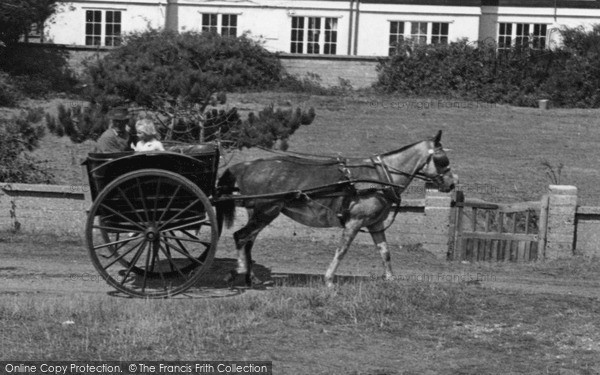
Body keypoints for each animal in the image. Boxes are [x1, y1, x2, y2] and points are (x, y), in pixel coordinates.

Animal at [218, 130, 458, 288]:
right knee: (241, 236)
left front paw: (390, 278)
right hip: (267, 211)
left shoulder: (375, 223)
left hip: (259, 212)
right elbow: (342, 250)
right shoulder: (355, 221)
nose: (451, 184)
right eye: (442, 158)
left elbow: (385, 251)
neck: (380, 177)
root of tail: (246, 165)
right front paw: (329, 279)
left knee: (248, 241)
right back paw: (237, 271)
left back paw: (250, 276)